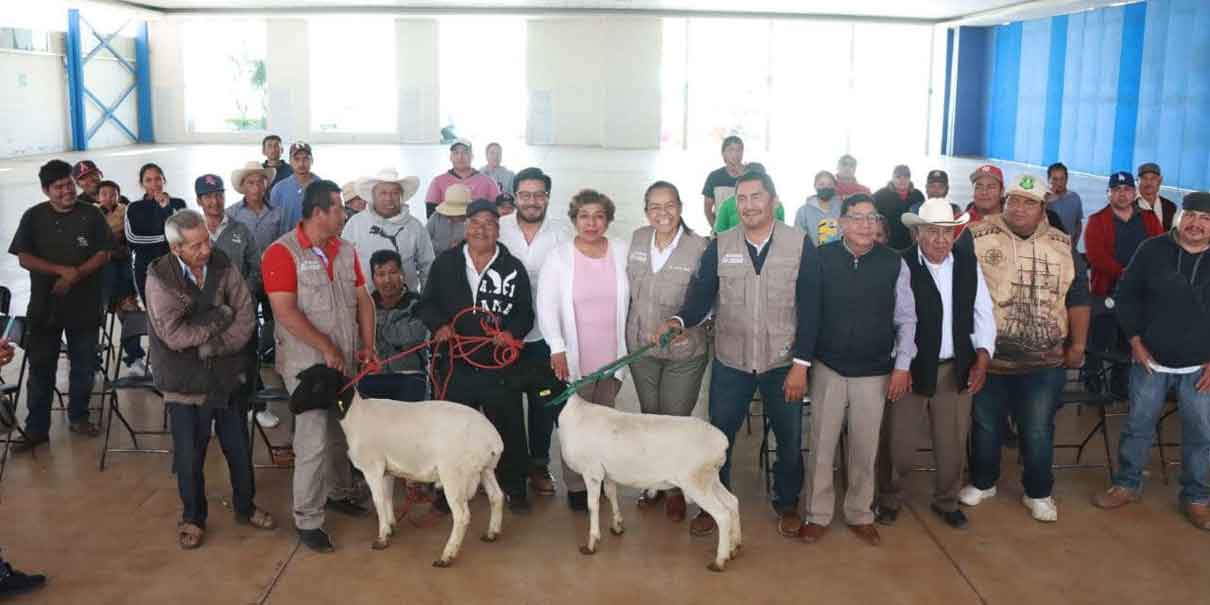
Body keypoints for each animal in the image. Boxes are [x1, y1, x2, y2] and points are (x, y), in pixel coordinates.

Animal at [556, 394, 735, 568]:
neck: (575, 414)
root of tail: (722, 441)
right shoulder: (607, 474)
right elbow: (611, 494)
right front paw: (617, 525)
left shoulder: (591, 472)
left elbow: (593, 506)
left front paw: (591, 544)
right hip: (711, 479)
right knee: (732, 502)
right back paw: (735, 547)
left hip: (695, 482)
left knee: (722, 514)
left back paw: (720, 560)